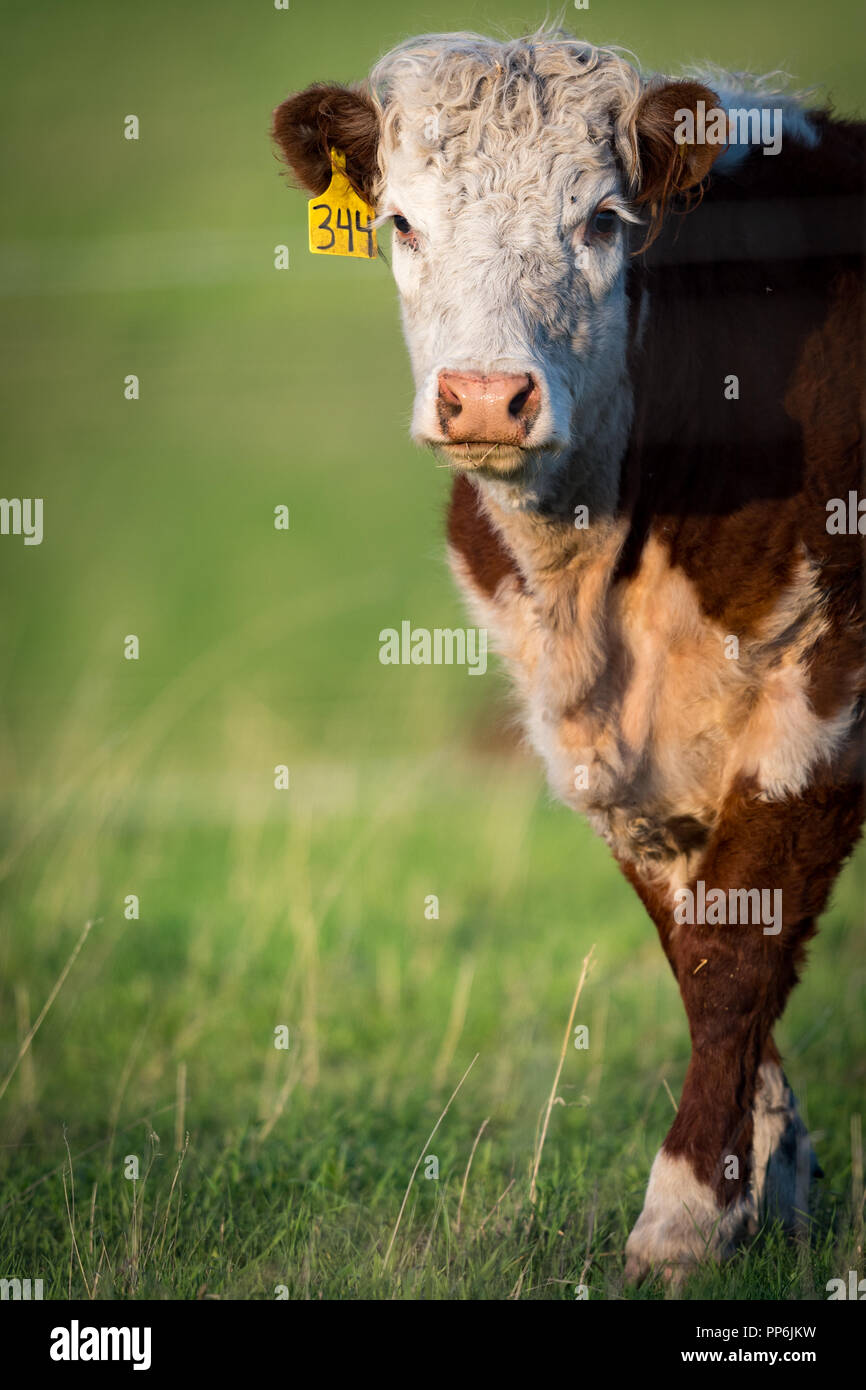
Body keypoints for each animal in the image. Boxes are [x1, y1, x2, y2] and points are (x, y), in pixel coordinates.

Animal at [272, 28, 865, 1282]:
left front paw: (683, 1217)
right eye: (400, 221)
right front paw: (767, 1187)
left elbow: (736, 943)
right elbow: (694, 946)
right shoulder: (603, 743)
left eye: (598, 219)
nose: (485, 396)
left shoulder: (826, 691)